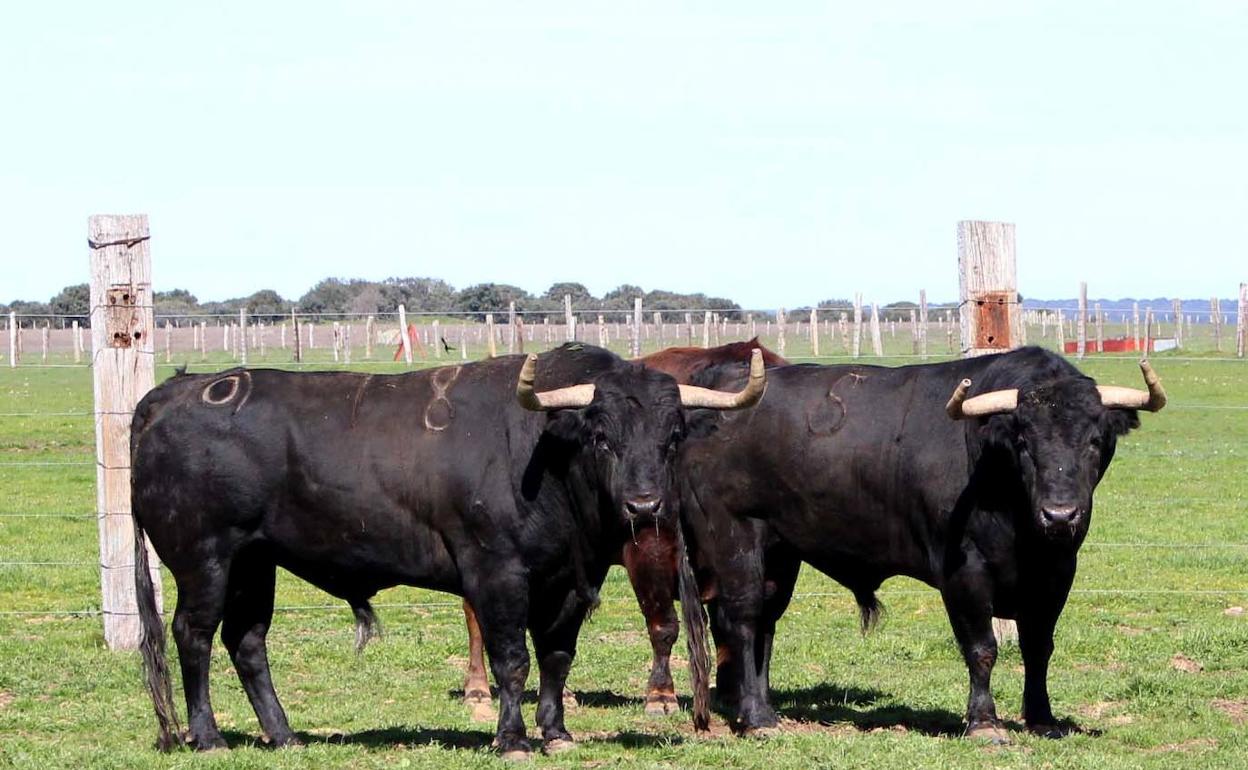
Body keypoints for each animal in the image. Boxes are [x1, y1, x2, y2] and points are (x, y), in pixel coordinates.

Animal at [131, 344, 763, 753]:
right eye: (602, 435)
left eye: (672, 436)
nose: (644, 506)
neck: (545, 453)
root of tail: (176, 390)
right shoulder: (496, 571)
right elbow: (512, 658)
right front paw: (512, 739)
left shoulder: (566, 582)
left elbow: (557, 656)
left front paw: (556, 733)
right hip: (205, 558)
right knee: (193, 636)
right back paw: (208, 737)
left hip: (254, 563)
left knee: (247, 642)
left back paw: (284, 736)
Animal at [678, 346, 1163, 738]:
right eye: (1024, 442)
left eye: (1095, 441)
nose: (1060, 515)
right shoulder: (964, 573)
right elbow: (982, 649)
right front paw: (984, 723)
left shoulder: (1057, 574)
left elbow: (1039, 648)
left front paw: (1042, 718)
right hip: (736, 536)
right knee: (742, 619)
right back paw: (756, 719)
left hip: (780, 553)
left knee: (765, 623)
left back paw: (763, 709)